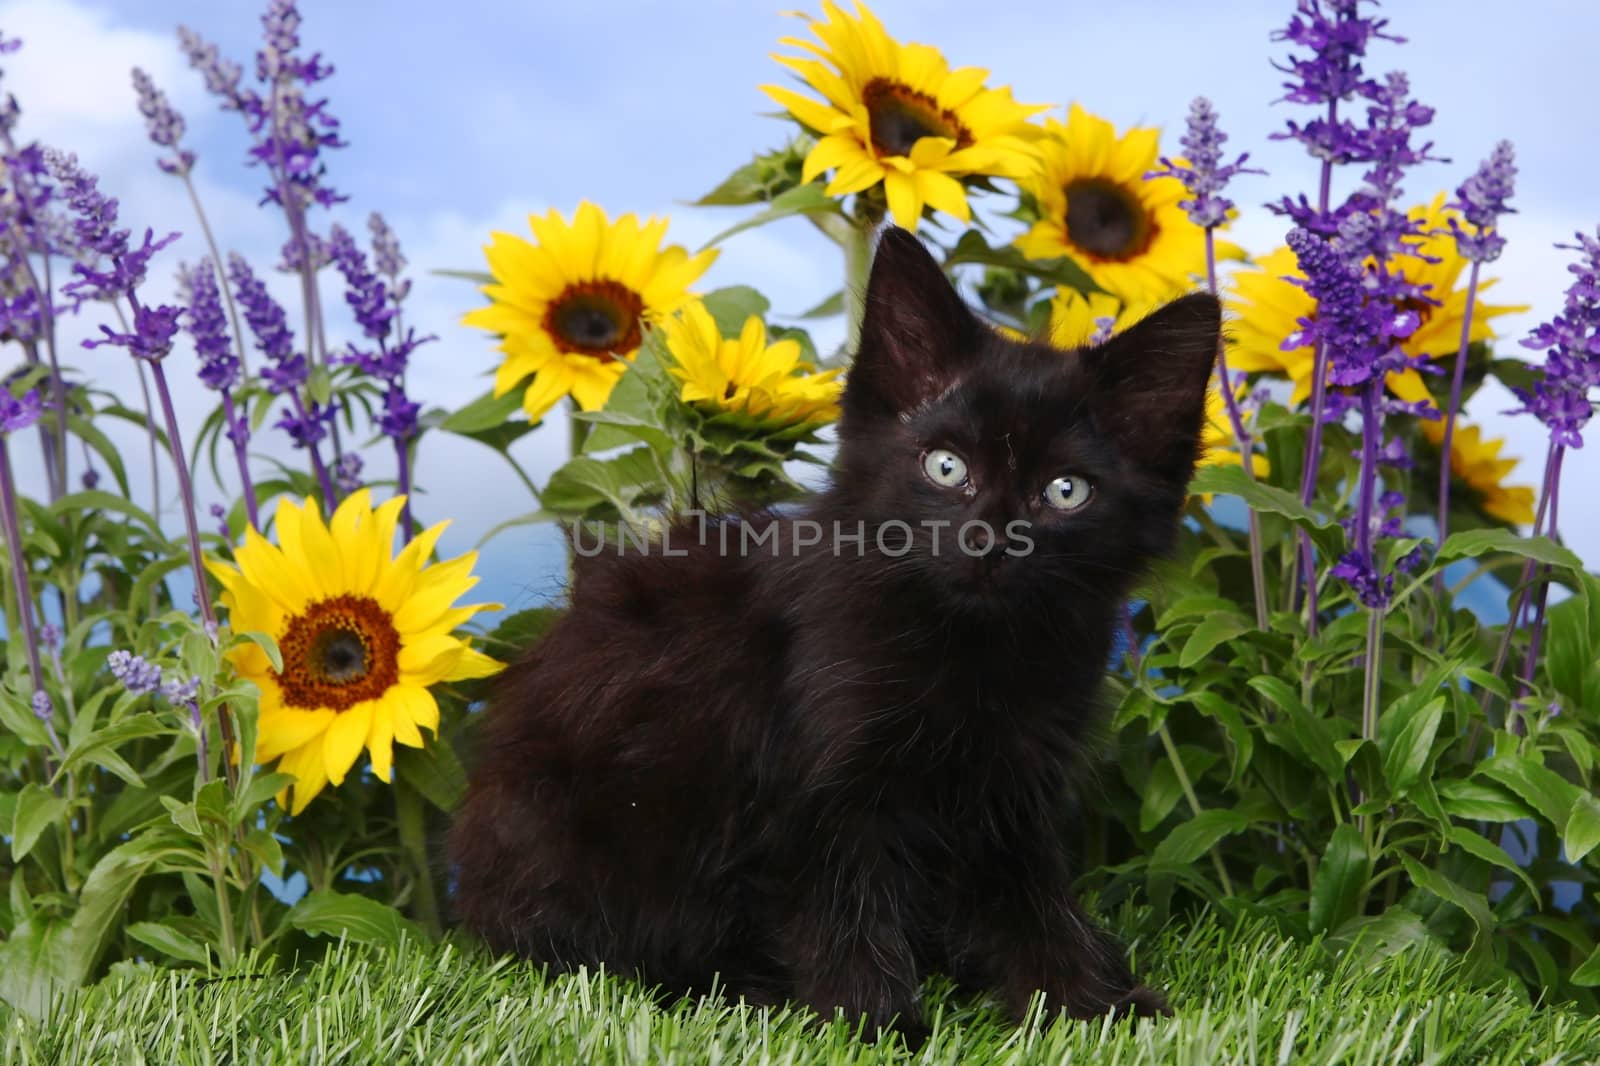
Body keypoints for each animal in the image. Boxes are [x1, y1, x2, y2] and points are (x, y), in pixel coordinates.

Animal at [451, 228, 1222, 1030]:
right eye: (947, 468)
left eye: (1066, 491)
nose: (991, 540)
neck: (969, 650)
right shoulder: (817, 787)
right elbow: (840, 906)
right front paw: (877, 1022)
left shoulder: (1016, 782)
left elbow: (1030, 898)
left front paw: (1085, 1003)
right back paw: (741, 987)